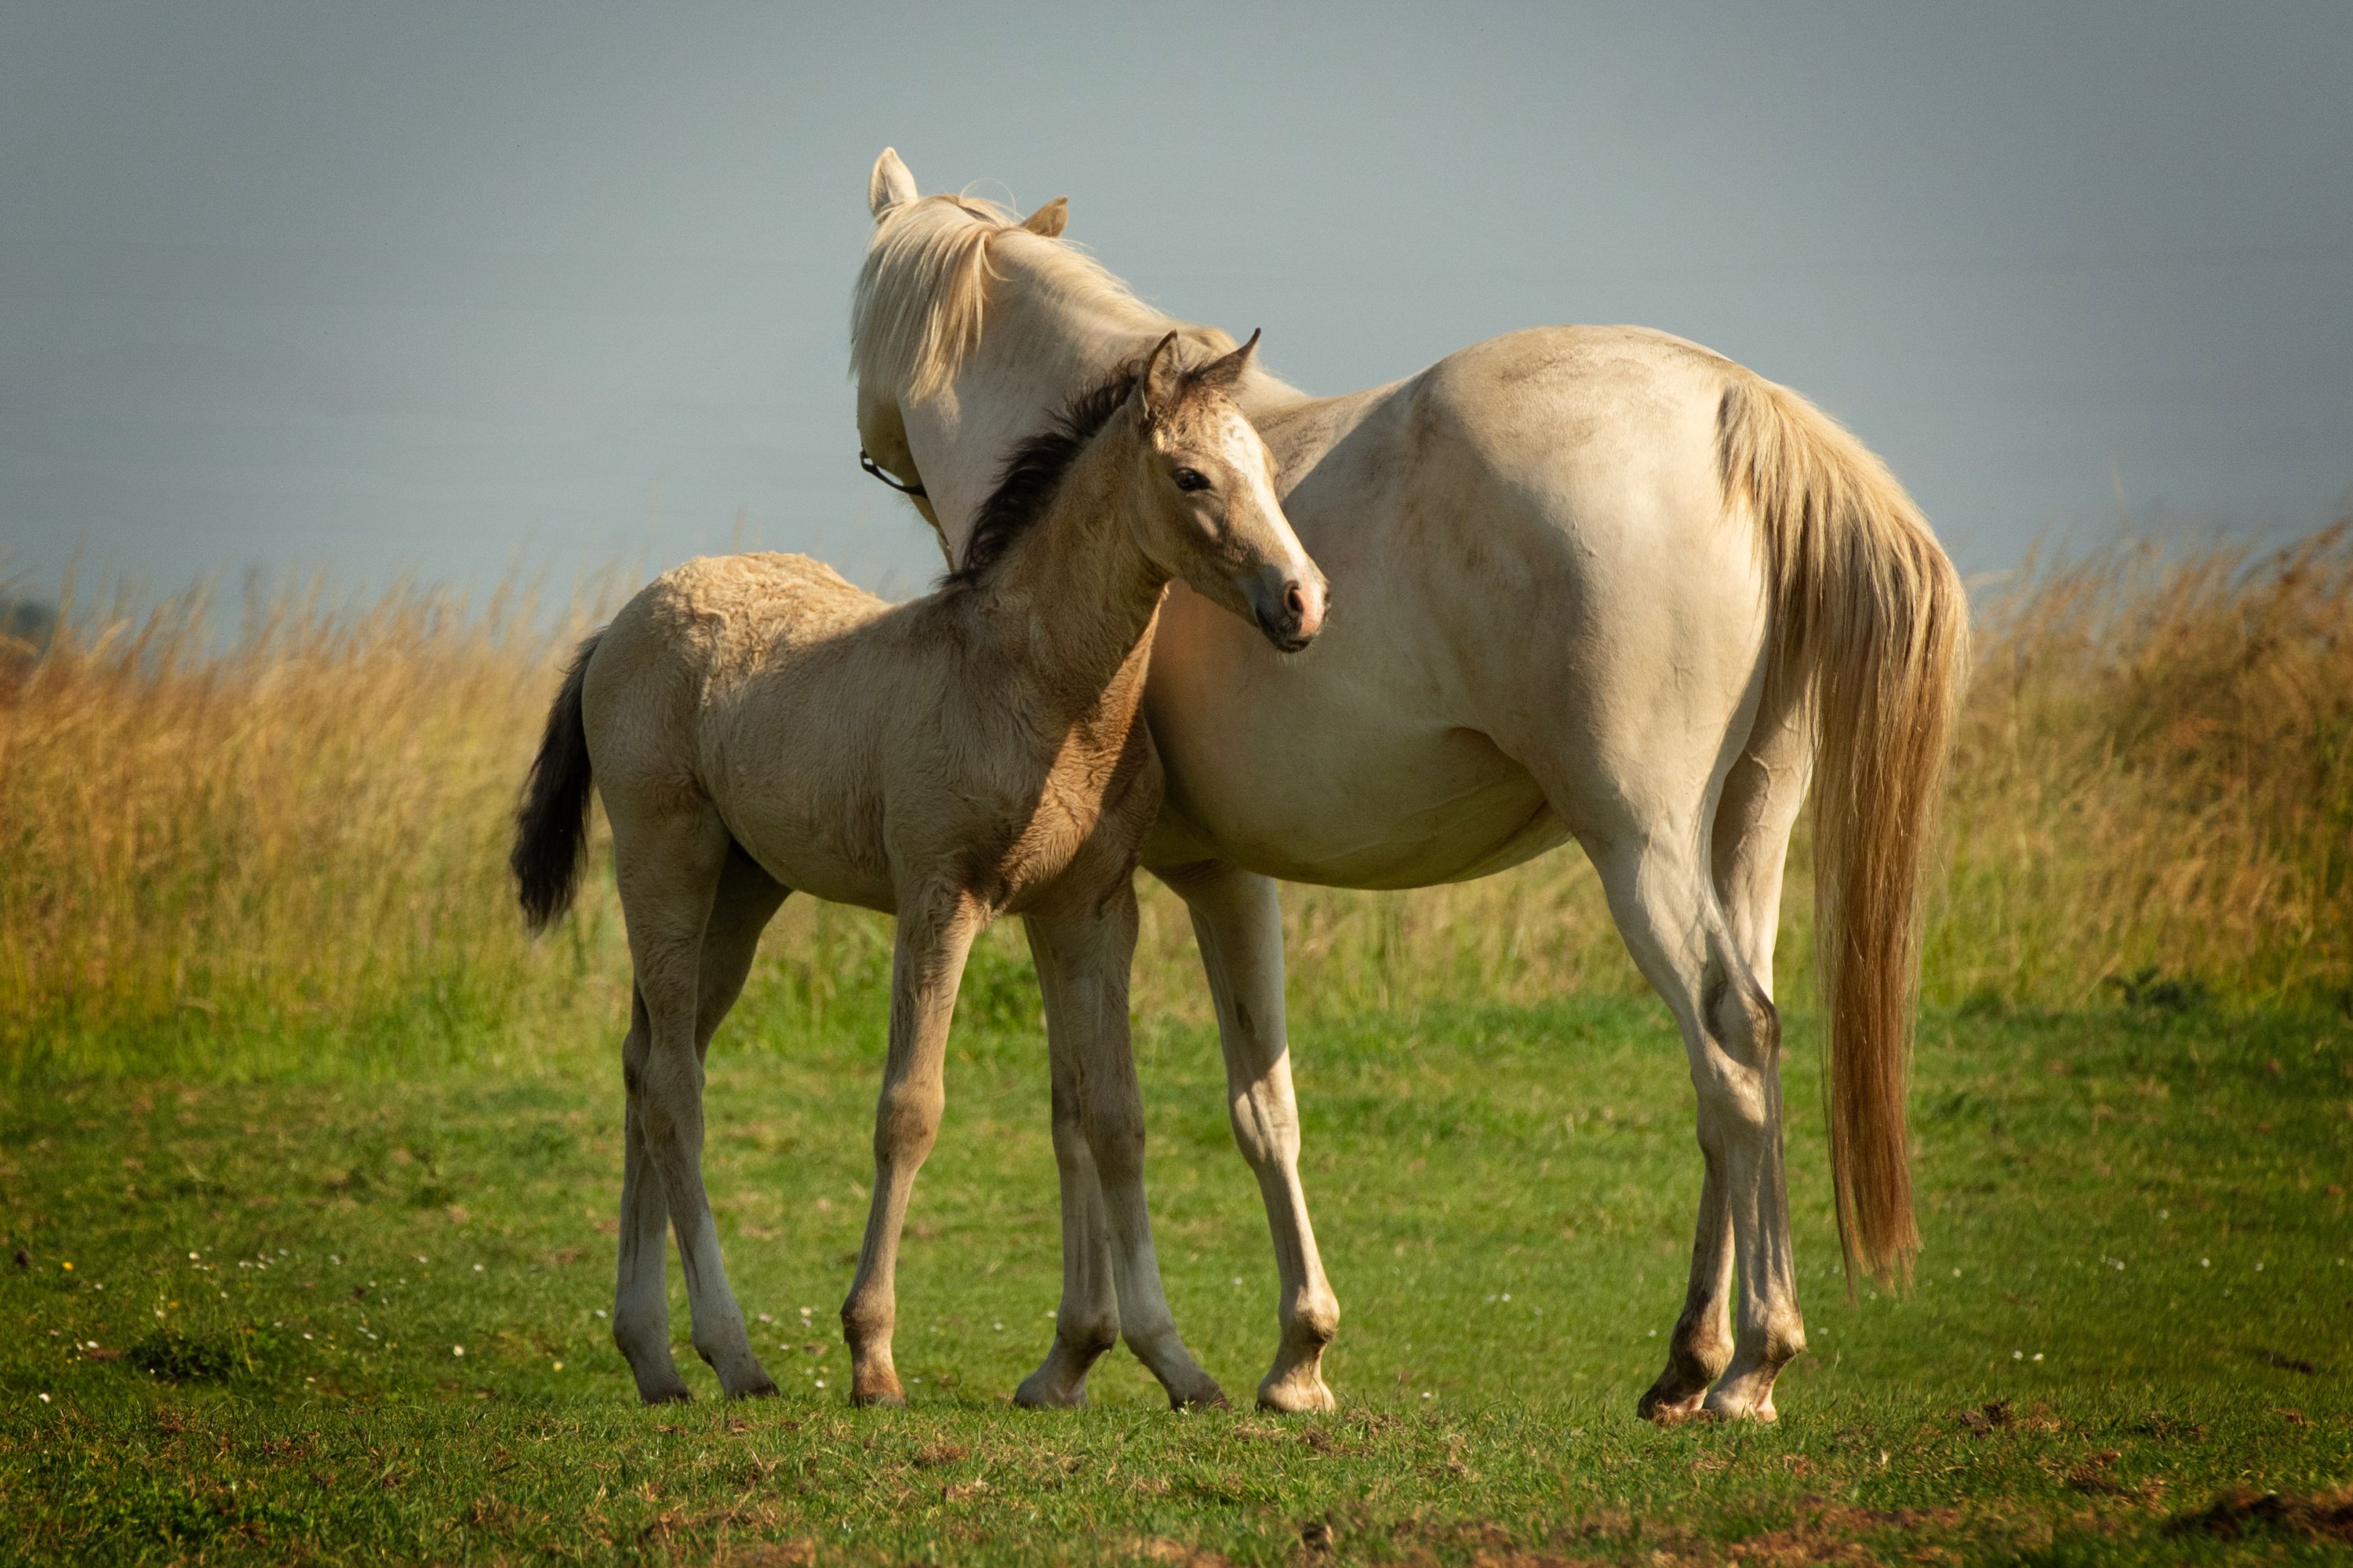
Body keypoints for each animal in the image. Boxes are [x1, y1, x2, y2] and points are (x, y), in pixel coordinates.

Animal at [510, 330, 1328, 1407]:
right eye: (1191, 476)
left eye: (1269, 470)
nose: (1303, 601)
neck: (1040, 689)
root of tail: (619, 627)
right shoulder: (941, 897)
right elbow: (911, 1108)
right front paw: (872, 1356)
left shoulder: (1089, 909)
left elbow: (1113, 1116)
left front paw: (1177, 1364)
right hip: (663, 863)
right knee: (677, 1087)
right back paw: (734, 1353)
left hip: (743, 889)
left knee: (646, 1064)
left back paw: (654, 1358)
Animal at [848, 149, 1968, 1423]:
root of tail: (1741, 401)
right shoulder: (1207, 880)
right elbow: (1244, 1108)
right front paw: (1289, 1352)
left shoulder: (1119, 888)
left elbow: (1106, 1113)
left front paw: (1102, 1354)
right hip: (1749, 829)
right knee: (1748, 1064)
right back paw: (1699, 1359)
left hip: (1641, 844)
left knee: (1730, 1042)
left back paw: (1747, 1363)